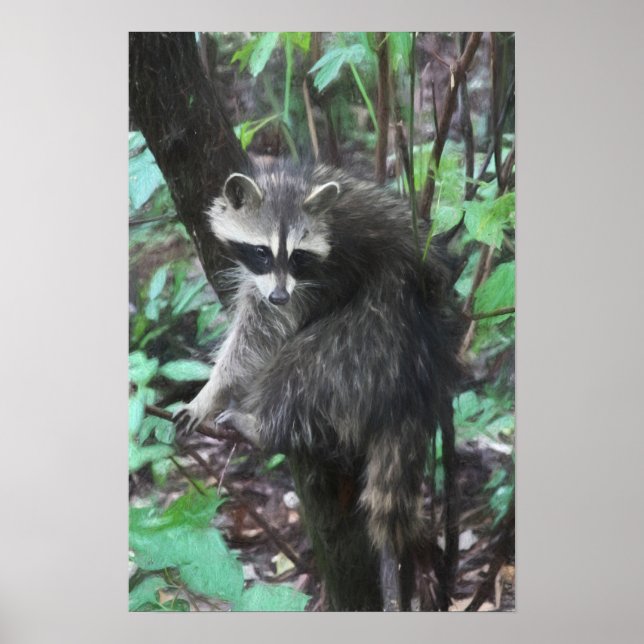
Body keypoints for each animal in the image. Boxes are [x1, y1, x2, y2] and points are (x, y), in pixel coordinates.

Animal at [174, 159, 463, 610]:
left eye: (298, 256)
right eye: (261, 252)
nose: (278, 294)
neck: (293, 186)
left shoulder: (330, 271)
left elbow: (264, 332)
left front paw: (213, 389)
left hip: (369, 334)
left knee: (304, 366)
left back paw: (262, 425)